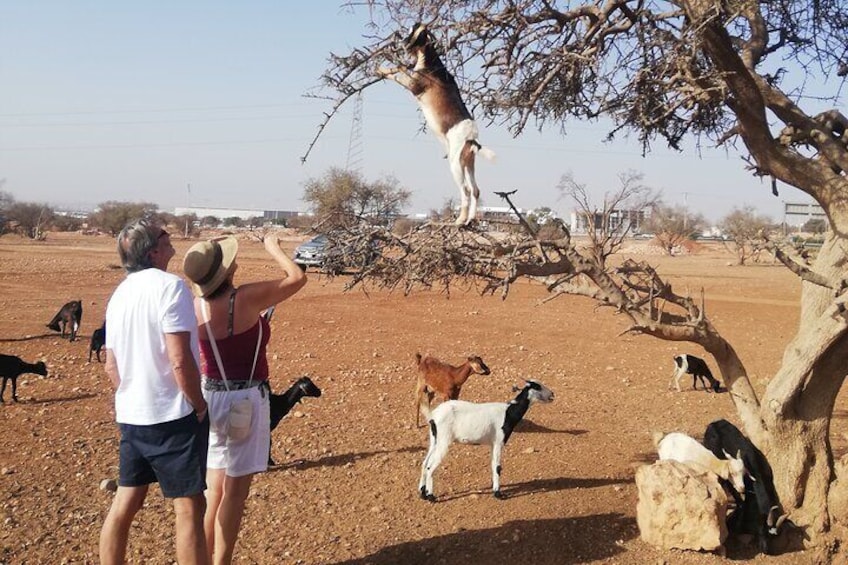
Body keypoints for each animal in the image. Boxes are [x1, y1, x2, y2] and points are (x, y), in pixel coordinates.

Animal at [378, 22, 495, 226]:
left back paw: (459, 220)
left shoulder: (412, 85)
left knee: (465, 191)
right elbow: (399, 67)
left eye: (411, 33)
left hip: (455, 165)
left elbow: (399, 69)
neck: (430, 61)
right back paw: (470, 219)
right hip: (468, 163)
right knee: (475, 190)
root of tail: (472, 138)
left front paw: (380, 69)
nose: (400, 41)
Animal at [418, 380, 554, 501]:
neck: (508, 412)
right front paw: (499, 494)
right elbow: (498, 467)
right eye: (537, 387)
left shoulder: (492, 444)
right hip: (444, 440)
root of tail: (433, 416)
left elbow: (493, 465)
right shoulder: (499, 442)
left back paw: (423, 494)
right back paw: (431, 496)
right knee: (431, 466)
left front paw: (495, 488)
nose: (552, 394)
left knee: (425, 463)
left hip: (435, 439)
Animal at [703, 419, 793, 554]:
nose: (766, 550)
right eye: (761, 529)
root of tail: (715, 422)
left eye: (772, 536)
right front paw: (737, 525)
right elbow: (742, 503)